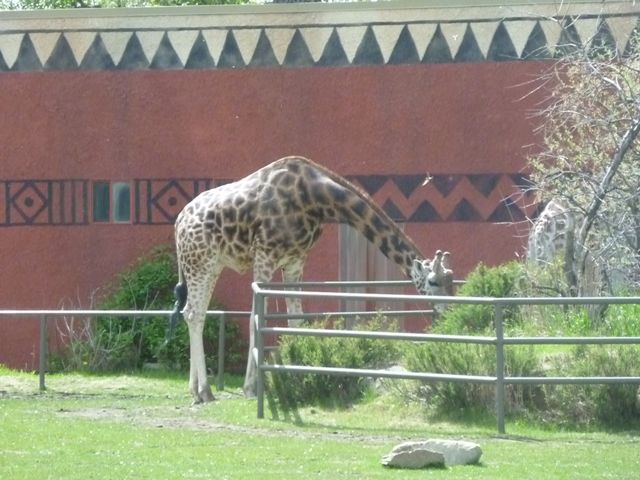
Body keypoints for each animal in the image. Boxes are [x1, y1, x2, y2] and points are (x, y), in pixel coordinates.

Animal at [169, 156, 453, 403]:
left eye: (452, 283)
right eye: (433, 282)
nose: (451, 313)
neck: (317, 198)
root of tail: (178, 222)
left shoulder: (296, 259)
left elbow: (297, 319)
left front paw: (299, 377)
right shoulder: (264, 254)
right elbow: (255, 318)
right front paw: (250, 388)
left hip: (210, 265)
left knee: (193, 312)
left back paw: (194, 389)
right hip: (200, 262)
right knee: (194, 313)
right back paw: (204, 391)